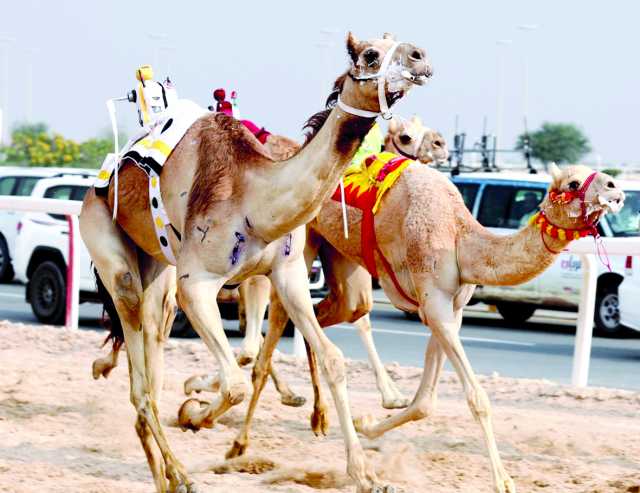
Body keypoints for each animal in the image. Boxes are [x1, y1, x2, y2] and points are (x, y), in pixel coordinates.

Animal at [79, 31, 430, 492]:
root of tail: (97, 184)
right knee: (140, 380)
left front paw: (365, 475)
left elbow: (332, 360)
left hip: (157, 270)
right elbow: (234, 385)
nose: (420, 57)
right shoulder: (197, 283)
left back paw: (165, 476)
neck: (255, 198)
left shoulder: (287, 274)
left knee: (150, 364)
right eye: (371, 54)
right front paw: (195, 415)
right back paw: (181, 473)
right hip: (108, 245)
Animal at [226, 162, 624, 492]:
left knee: (329, 315)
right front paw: (504, 481)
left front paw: (368, 424)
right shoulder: (434, 304)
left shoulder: (448, 310)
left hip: (341, 262)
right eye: (573, 182)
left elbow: (425, 403)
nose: (616, 189)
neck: (461, 237)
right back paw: (238, 441)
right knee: (278, 323)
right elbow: (476, 398)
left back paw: (317, 417)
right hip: (296, 243)